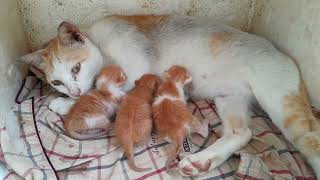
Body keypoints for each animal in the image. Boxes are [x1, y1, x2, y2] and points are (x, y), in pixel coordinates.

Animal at [20, 15, 320, 177]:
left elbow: (104, 89)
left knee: (310, 139)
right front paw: (66, 100)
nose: (74, 91)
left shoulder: (135, 72)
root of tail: (280, 52)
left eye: (76, 68)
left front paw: (65, 104)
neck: (101, 44)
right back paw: (201, 161)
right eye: (56, 81)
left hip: (282, 102)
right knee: (242, 133)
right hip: (229, 97)